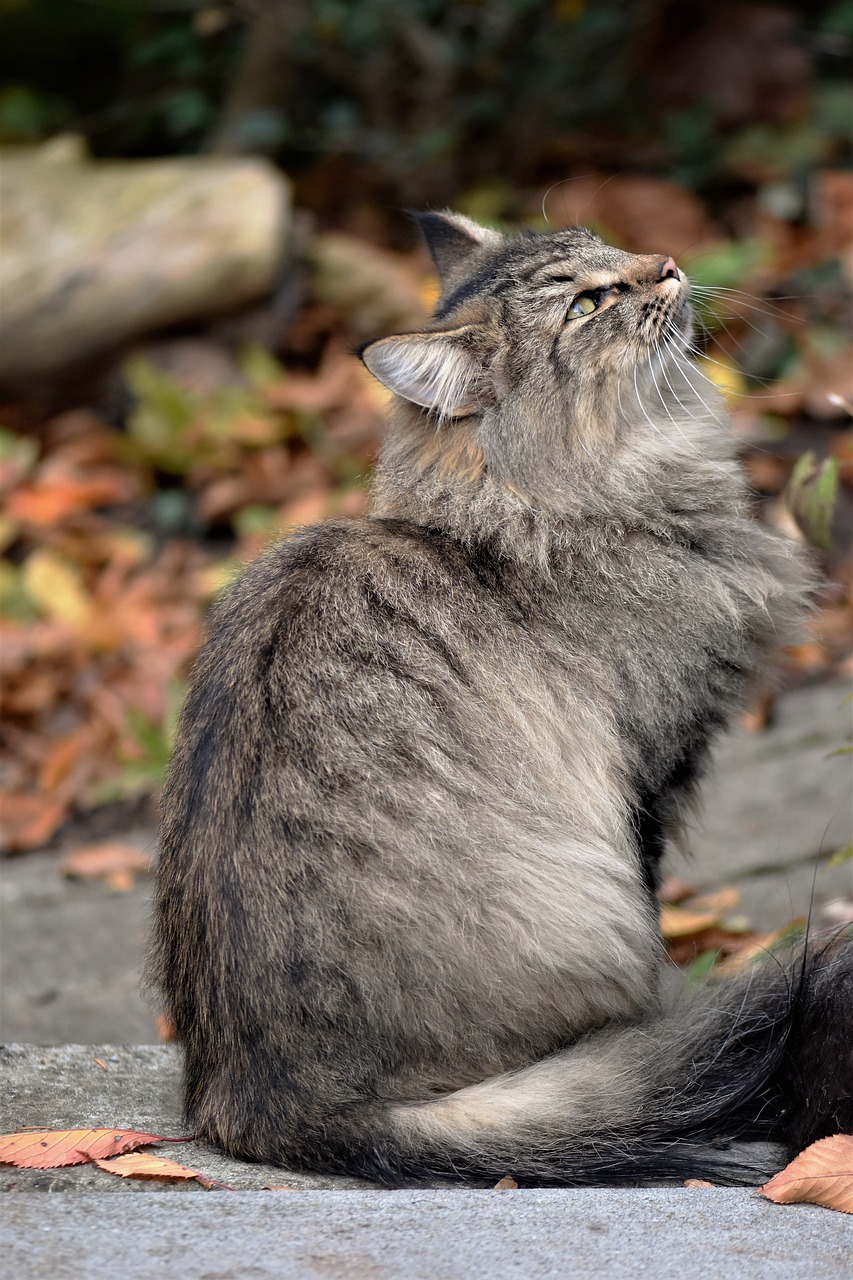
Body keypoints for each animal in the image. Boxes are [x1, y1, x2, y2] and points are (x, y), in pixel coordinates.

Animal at [149, 207, 845, 1177]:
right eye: (589, 302)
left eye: (606, 247)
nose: (667, 262)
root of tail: (265, 1098)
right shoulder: (649, 775)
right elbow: (657, 896)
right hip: (588, 902)